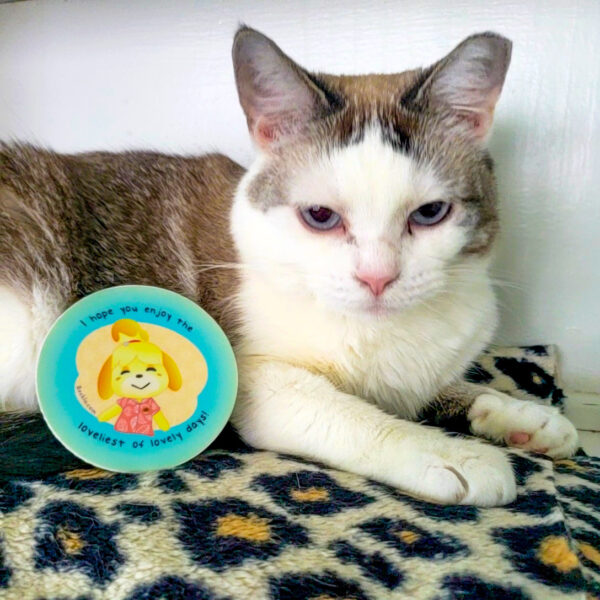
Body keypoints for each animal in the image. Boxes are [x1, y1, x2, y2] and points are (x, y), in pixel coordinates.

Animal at [0, 27, 576, 506]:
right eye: (320, 216)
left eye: (430, 213)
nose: (377, 277)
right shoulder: (257, 383)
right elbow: (355, 414)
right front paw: (451, 452)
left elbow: (447, 384)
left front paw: (522, 414)